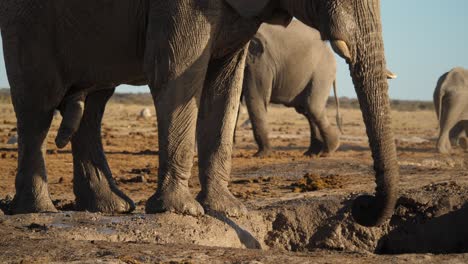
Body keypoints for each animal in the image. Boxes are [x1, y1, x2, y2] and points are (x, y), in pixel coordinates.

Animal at [1, 0, 400, 227]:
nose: (361, 206)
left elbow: (225, 86)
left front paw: (230, 211)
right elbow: (176, 74)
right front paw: (183, 211)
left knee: (94, 105)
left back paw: (108, 207)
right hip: (27, 23)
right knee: (37, 106)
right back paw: (40, 211)